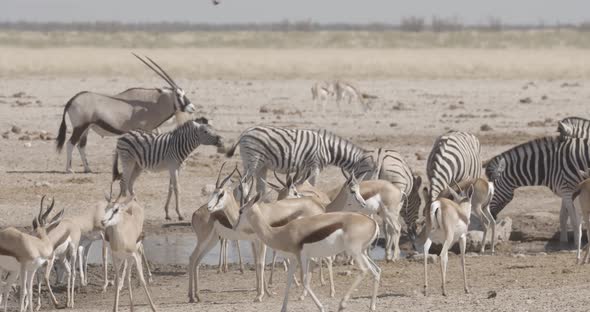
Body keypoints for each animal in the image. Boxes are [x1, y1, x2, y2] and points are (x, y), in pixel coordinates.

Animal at [55, 54, 195, 174]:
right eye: (178, 94)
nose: (192, 108)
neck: (153, 102)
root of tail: (72, 100)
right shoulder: (143, 129)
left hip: (87, 128)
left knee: (81, 146)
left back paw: (88, 169)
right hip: (80, 127)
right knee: (70, 143)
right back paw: (69, 169)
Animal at [225, 126, 374, 195]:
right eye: (369, 171)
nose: (368, 188)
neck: (328, 149)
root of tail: (244, 132)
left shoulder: (304, 168)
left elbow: (301, 183)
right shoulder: (314, 165)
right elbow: (312, 185)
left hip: (260, 165)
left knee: (259, 187)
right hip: (253, 162)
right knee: (241, 184)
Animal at [237, 193, 382, 312]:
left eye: (240, 211)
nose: (235, 226)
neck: (281, 233)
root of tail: (372, 221)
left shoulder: (302, 257)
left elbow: (304, 281)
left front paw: (321, 307)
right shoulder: (294, 259)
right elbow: (289, 281)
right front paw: (283, 308)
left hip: (354, 251)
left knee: (363, 270)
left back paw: (342, 304)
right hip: (362, 252)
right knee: (376, 271)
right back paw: (372, 306)